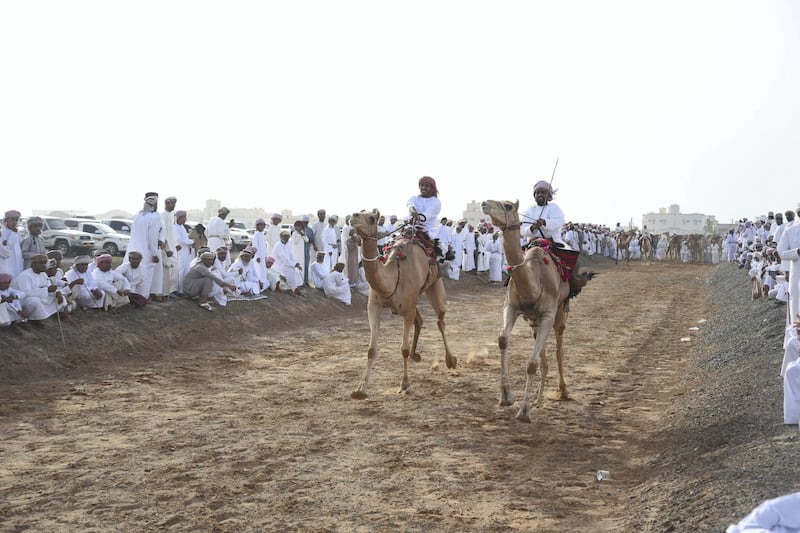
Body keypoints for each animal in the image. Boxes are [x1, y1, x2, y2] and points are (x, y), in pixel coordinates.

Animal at [350, 209, 456, 400]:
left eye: (371, 218)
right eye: (360, 212)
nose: (353, 216)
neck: (393, 276)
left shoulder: (407, 311)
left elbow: (403, 349)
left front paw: (405, 385)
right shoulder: (374, 307)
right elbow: (371, 349)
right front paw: (360, 389)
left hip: (435, 286)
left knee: (440, 321)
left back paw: (450, 360)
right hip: (414, 301)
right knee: (420, 320)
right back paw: (416, 355)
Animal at [482, 197, 592, 422]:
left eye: (508, 205)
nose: (485, 203)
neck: (532, 282)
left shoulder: (548, 314)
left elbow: (531, 363)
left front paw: (524, 411)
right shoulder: (512, 307)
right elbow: (503, 339)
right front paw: (506, 396)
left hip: (560, 313)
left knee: (559, 349)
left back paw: (562, 391)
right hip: (533, 320)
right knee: (543, 355)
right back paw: (538, 399)